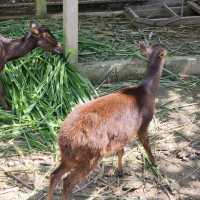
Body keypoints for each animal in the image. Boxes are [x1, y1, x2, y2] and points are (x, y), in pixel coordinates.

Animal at [47, 42, 166, 200]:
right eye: (163, 50)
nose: (166, 49)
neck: (147, 91)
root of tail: (63, 140)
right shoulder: (144, 123)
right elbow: (146, 146)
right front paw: (155, 165)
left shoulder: (121, 135)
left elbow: (121, 151)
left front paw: (120, 171)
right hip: (92, 154)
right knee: (67, 181)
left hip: (71, 157)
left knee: (54, 175)